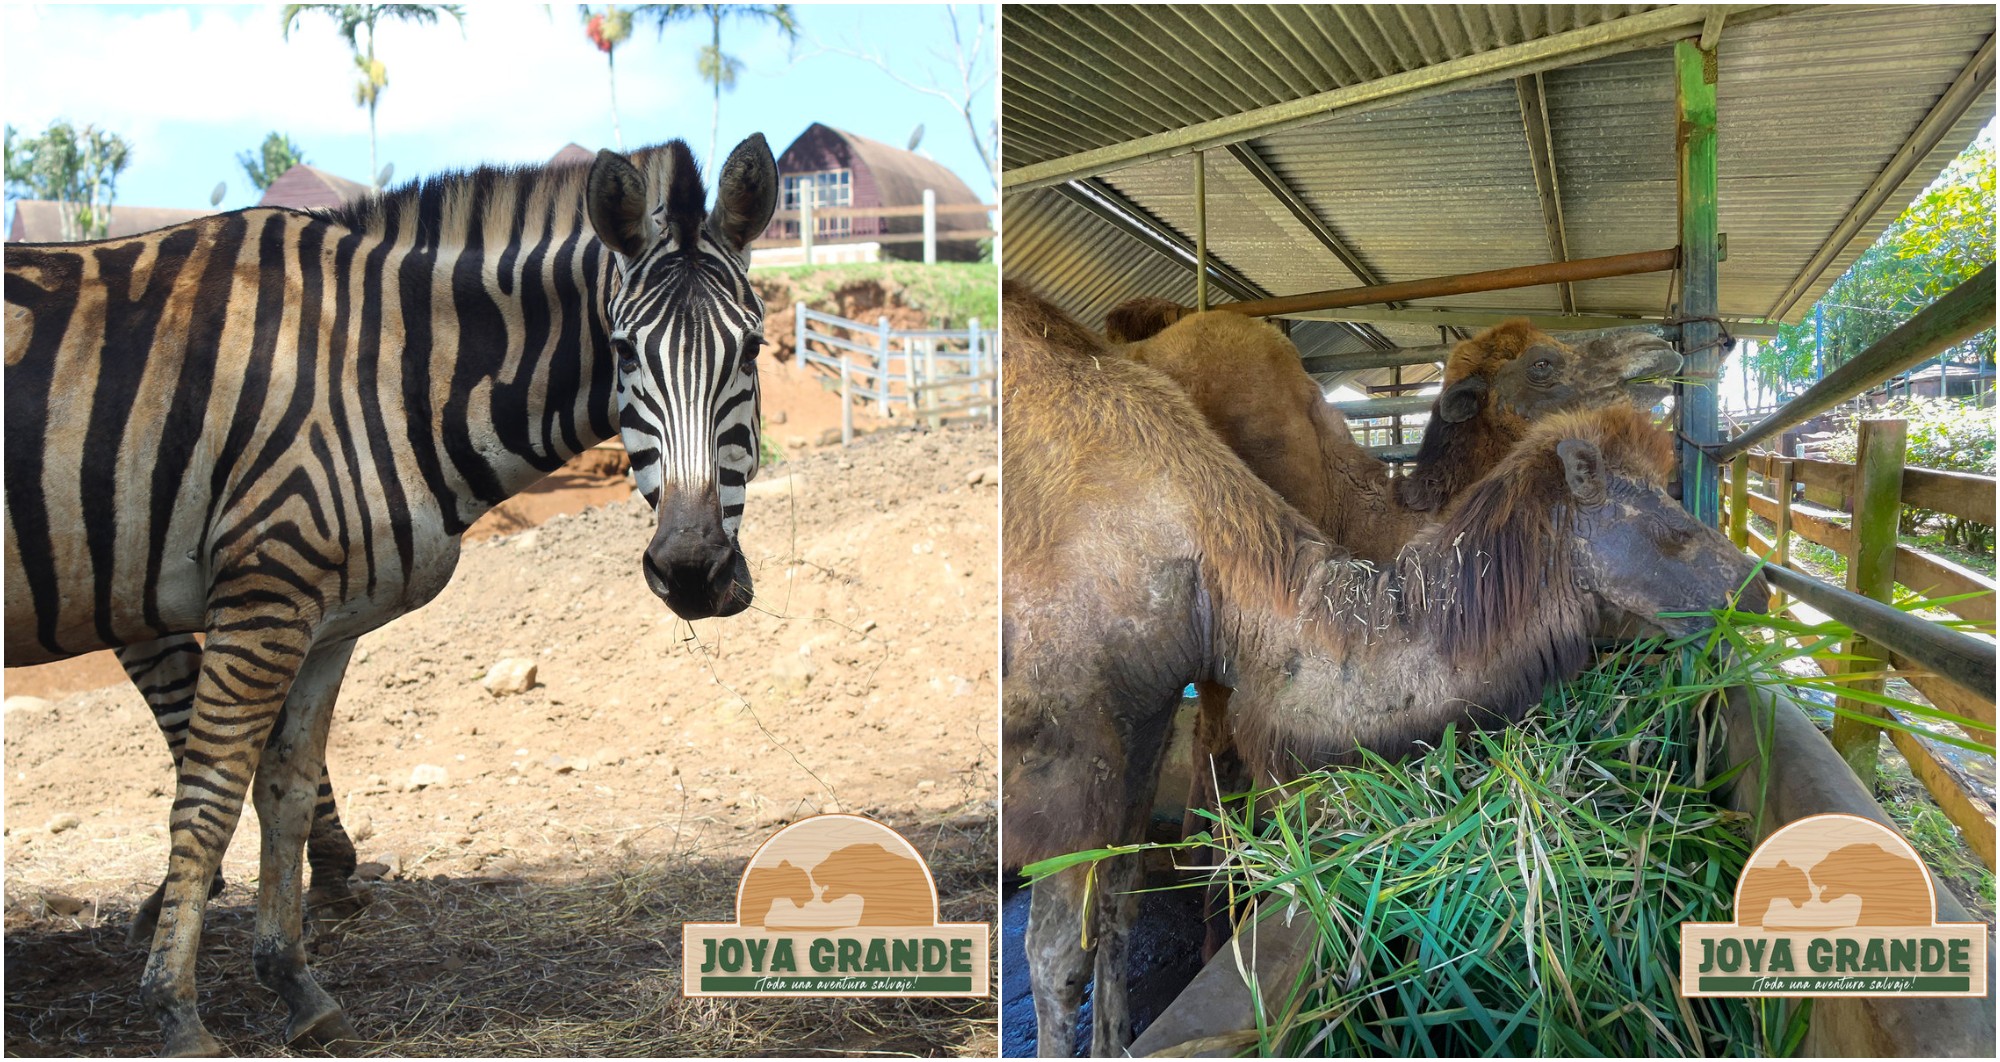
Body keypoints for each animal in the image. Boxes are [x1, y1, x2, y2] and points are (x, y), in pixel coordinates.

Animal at [3, 135, 776, 1056]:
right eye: (624, 354)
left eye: (754, 351)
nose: (693, 571)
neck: (382, 369)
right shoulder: (261, 586)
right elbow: (207, 799)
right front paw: (177, 1011)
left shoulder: (325, 618)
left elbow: (284, 788)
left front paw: (295, 983)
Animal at [1000, 284, 1768, 1056]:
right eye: (1545, 364)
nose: (1756, 586)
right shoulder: (1085, 722)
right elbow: (1063, 954)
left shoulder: (1150, 698)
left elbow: (1120, 898)